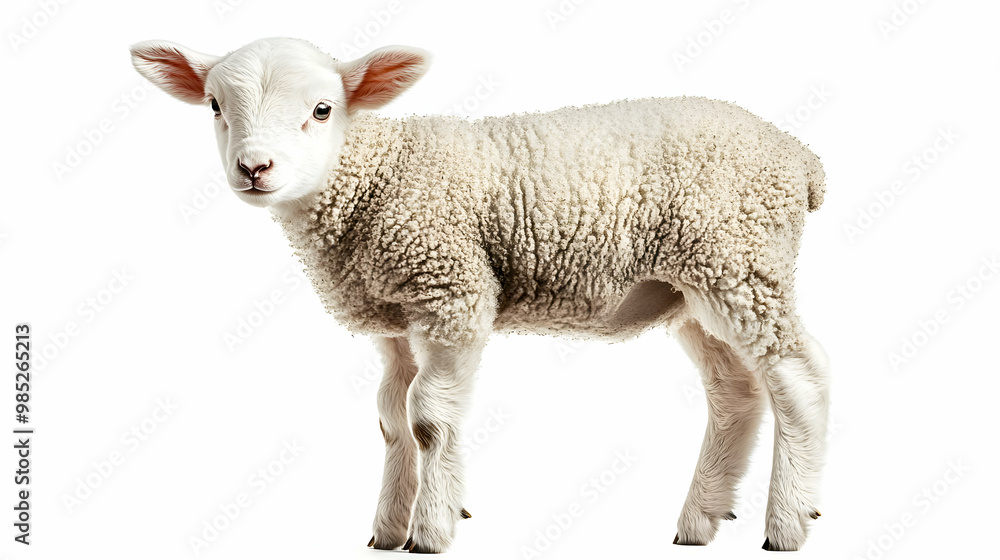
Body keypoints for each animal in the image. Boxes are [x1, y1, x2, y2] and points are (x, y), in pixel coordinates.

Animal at [129, 37, 830, 553]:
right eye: (215, 106)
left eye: (323, 109)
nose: (255, 168)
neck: (373, 176)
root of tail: (800, 158)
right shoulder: (397, 317)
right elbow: (391, 418)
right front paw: (388, 528)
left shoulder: (453, 292)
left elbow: (428, 417)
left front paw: (431, 530)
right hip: (692, 290)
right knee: (735, 392)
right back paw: (700, 520)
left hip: (739, 259)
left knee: (799, 377)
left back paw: (788, 522)